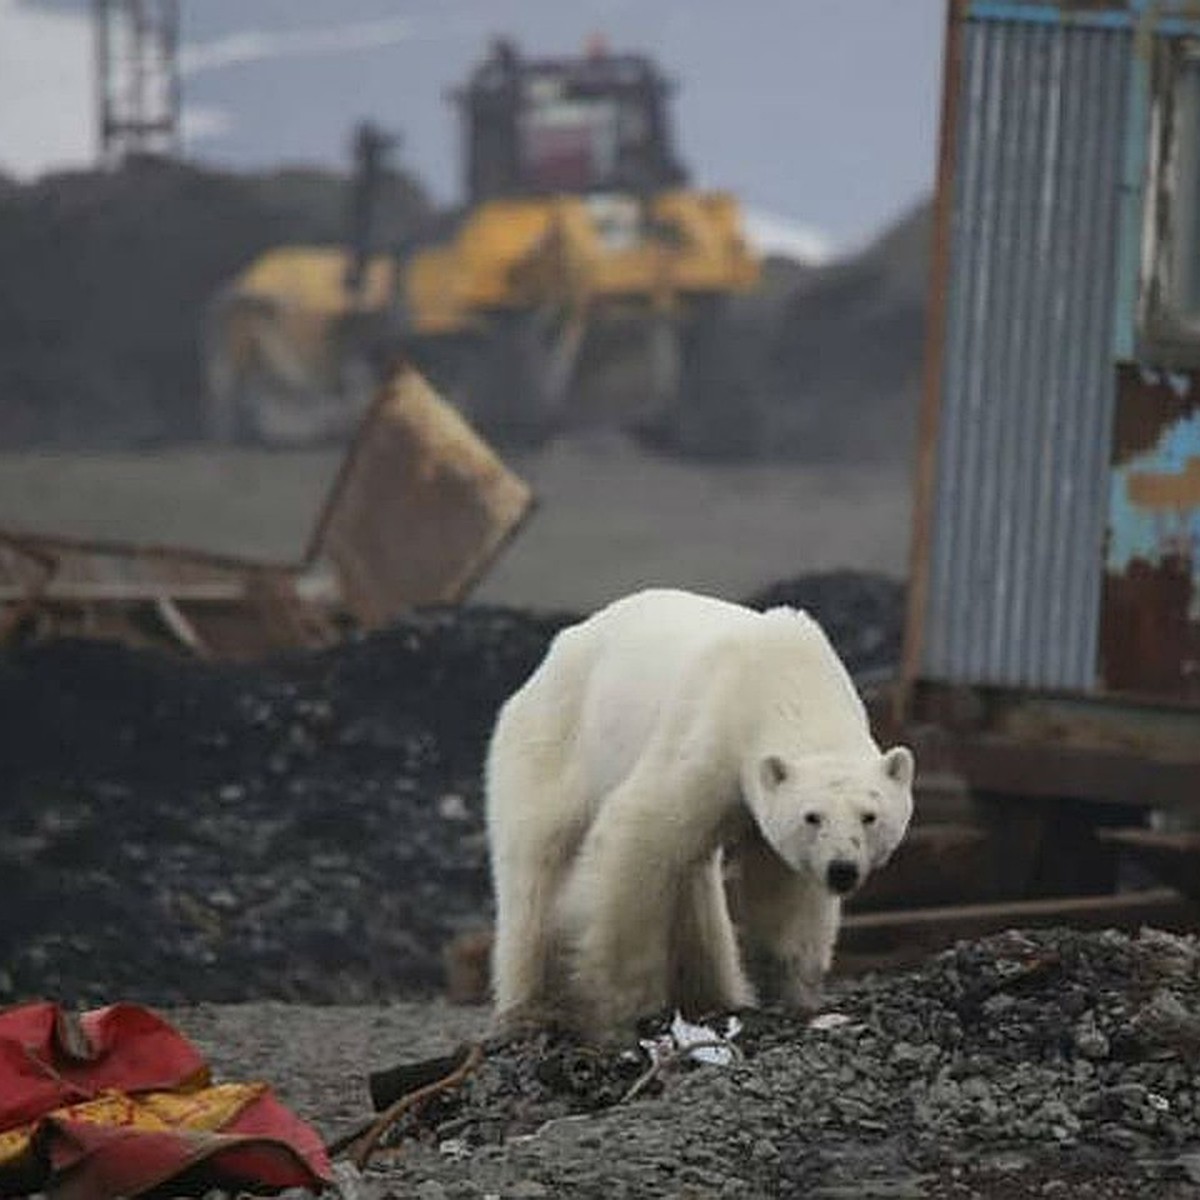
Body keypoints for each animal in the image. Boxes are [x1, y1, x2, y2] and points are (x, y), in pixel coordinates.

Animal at [482, 585, 912, 1036]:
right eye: (812, 816)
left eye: (869, 816)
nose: (842, 870)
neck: (786, 680)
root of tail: (546, 663)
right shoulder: (709, 736)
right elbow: (636, 835)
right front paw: (627, 1007)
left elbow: (785, 887)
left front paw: (795, 993)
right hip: (552, 744)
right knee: (536, 868)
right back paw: (531, 1007)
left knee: (693, 882)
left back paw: (713, 996)